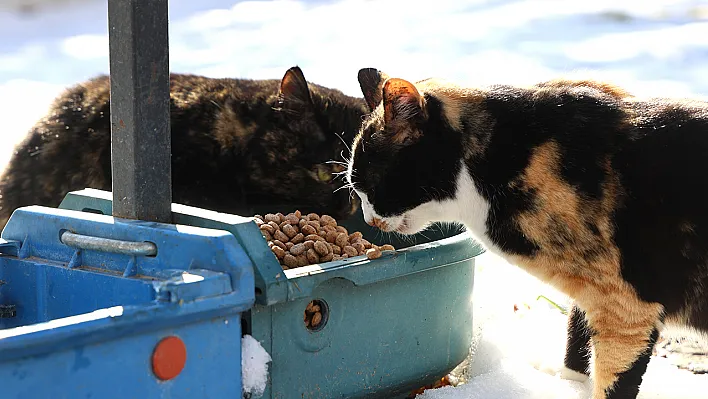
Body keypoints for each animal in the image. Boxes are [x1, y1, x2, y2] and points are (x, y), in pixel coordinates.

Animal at [348, 67, 708, 398]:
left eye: (369, 184)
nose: (369, 219)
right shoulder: (592, 292)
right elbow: (576, 337)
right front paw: (564, 383)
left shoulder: (626, 308)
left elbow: (614, 379)